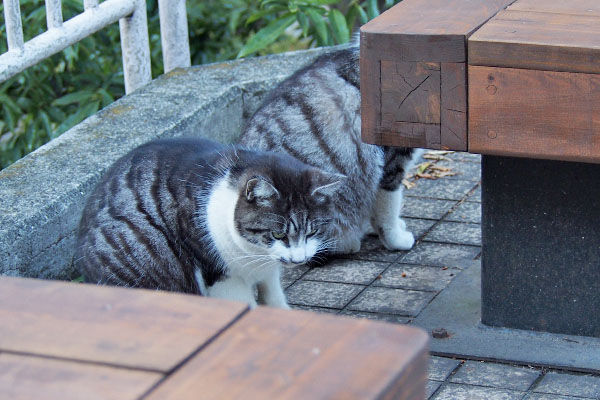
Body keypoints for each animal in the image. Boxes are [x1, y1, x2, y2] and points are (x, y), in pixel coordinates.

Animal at [75, 136, 344, 308]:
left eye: (313, 232)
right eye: (278, 235)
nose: (300, 259)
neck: (256, 254)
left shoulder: (268, 272)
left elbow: (274, 298)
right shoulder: (221, 277)